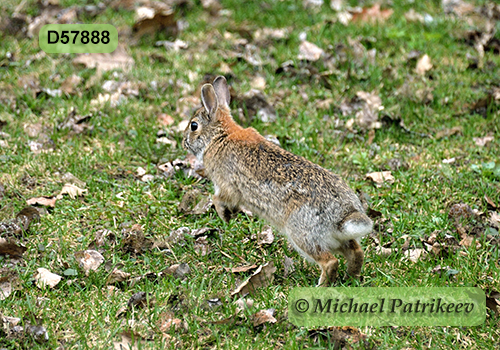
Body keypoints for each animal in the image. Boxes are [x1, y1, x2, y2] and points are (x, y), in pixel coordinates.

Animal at [183, 76, 372, 284]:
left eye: (194, 125)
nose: (184, 142)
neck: (219, 136)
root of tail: (343, 216)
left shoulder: (227, 185)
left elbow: (217, 198)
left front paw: (225, 217)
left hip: (302, 234)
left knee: (330, 262)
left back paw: (321, 285)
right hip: (337, 240)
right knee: (356, 252)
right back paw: (351, 278)